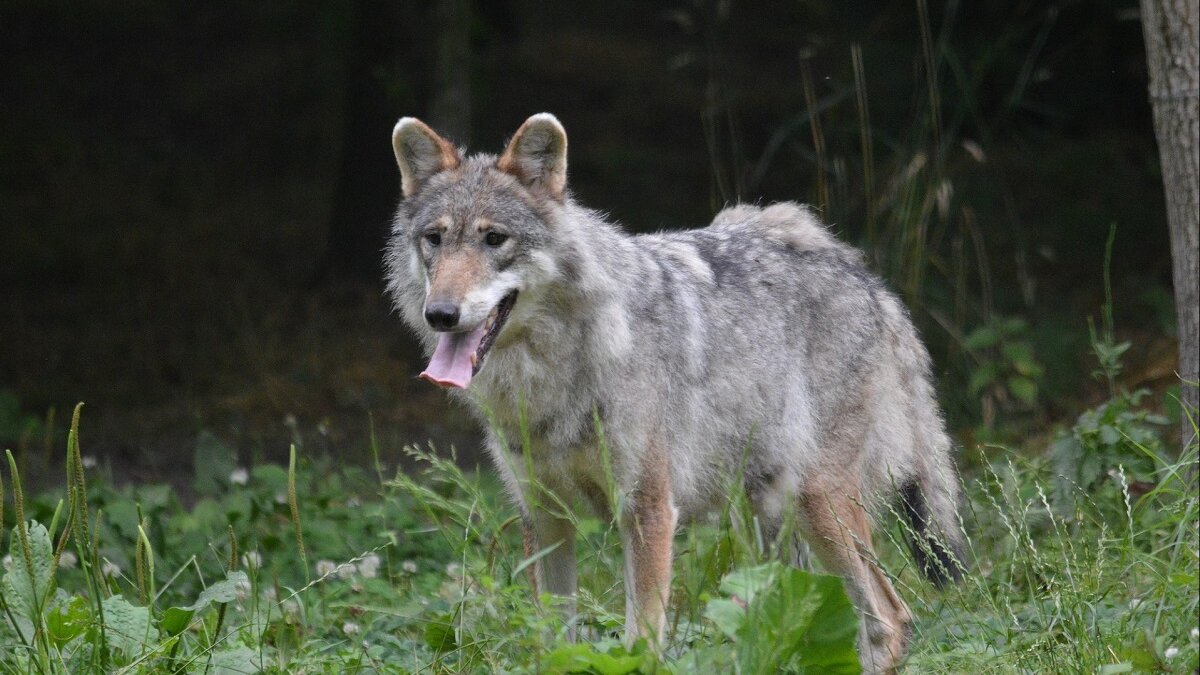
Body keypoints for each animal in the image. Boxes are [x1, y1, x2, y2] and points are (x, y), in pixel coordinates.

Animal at [384, 113, 965, 673]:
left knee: (890, 620)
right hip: (769, 529)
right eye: (435, 239)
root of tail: (869, 281)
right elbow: (553, 645)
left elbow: (641, 642)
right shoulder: (545, 519)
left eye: (494, 239)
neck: (554, 374)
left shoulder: (648, 511)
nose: (442, 314)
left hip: (819, 505)